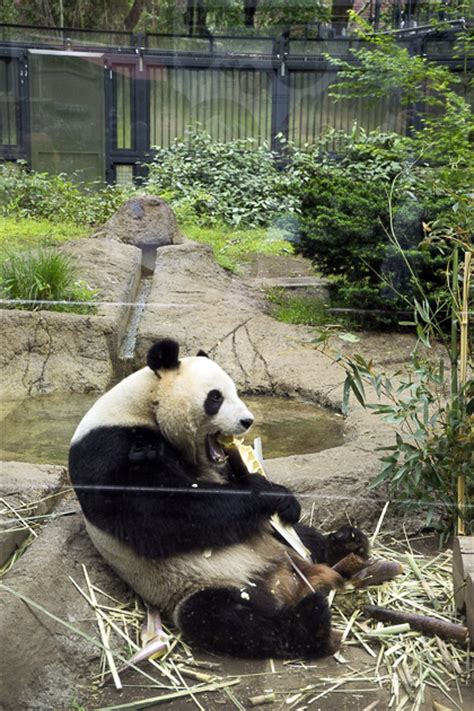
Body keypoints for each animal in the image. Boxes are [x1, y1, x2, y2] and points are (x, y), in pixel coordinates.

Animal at [68, 340, 368, 660]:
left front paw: (287, 501)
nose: (247, 421)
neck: (142, 405)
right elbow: (167, 514)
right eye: (215, 397)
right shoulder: (107, 450)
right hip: (203, 584)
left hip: (284, 549)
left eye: (236, 391)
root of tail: (293, 580)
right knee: (226, 618)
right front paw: (267, 493)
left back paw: (348, 543)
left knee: (306, 539)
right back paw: (311, 623)